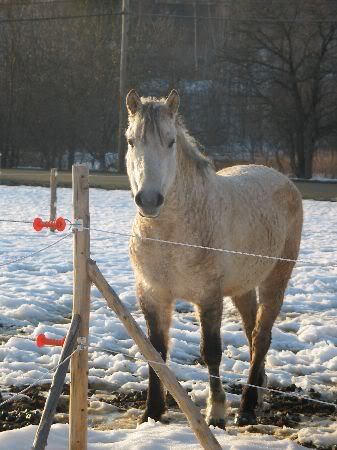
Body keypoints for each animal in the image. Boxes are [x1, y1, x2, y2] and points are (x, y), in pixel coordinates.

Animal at [124, 89, 304, 428]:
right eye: (130, 141)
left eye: (170, 141)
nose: (149, 200)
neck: (170, 235)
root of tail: (282, 178)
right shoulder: (153, 294)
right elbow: (156, 351)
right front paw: (152, 411)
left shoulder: (208, 296)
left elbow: (211, 352)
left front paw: (216, 411)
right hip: (243, 289)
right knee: (252, 335)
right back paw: (257, 393)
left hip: (275, 281)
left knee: (261, 337)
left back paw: (246, 407)